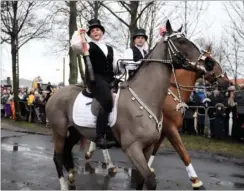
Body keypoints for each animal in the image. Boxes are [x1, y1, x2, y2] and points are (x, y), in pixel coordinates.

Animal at [46, 20, 210, 190]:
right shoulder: (132, 147)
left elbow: (140, 179)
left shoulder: (148, 147)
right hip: (59, 132)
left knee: (67, 150)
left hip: (75, 131)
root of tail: (55, 94)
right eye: (181, 41)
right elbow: (150, 179)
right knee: (57, 157)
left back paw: (72, 175)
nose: (207, 62)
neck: (145, 97)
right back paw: (65, 184)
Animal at [85, 46, 232, 190]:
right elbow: (183, 154)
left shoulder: (161, 131)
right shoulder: (170, 129)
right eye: (210, 63)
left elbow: (154, 151)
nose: (228, 84)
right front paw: (196, 182)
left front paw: (147, 169)